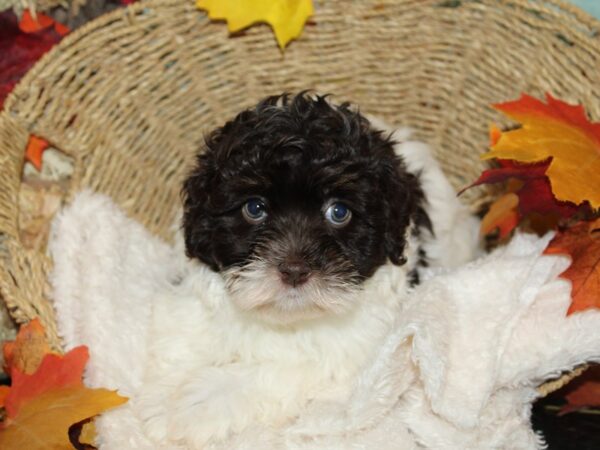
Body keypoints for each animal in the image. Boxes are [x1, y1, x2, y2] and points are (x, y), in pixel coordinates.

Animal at [135, 93, 474, 448]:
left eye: (338, 212)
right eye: (254, 208)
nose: (294, 270)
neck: (285, 320)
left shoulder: (346, 352)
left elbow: (276, 372)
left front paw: (199, 404)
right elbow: (184, 332)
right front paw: (163, 400)